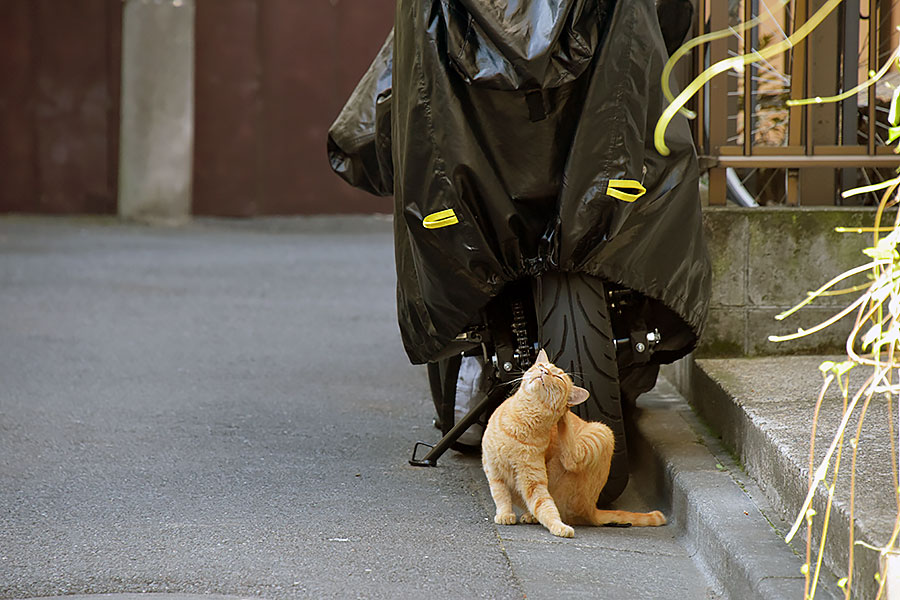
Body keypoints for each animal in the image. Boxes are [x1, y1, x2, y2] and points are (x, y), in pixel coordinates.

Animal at [482, 350, 664, 536]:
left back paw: (565, 414)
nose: (543, 371)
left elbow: (545, 506)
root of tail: (592, 508)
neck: (521, 423)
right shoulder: (493, 470)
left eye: (558, 377)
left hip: (602, 431)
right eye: (540, 366)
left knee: (570, 459)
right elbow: (501, 496)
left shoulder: (533, 481)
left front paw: (558, 526)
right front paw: (505, 514)